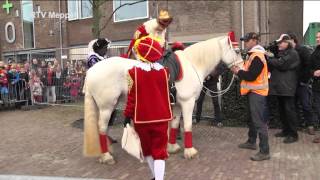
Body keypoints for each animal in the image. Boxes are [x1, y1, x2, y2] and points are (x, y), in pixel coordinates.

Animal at [82, 34, 242, 164]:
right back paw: (106, 156)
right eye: (237, 51)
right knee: (102, 128)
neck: (193, 63)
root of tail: (92, 71)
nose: (241, 70)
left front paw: (172, 147)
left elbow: (175, 125)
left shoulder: (177, 105)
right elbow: (188, 126)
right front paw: (190, 152)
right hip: (107, 107)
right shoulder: (188, 103)